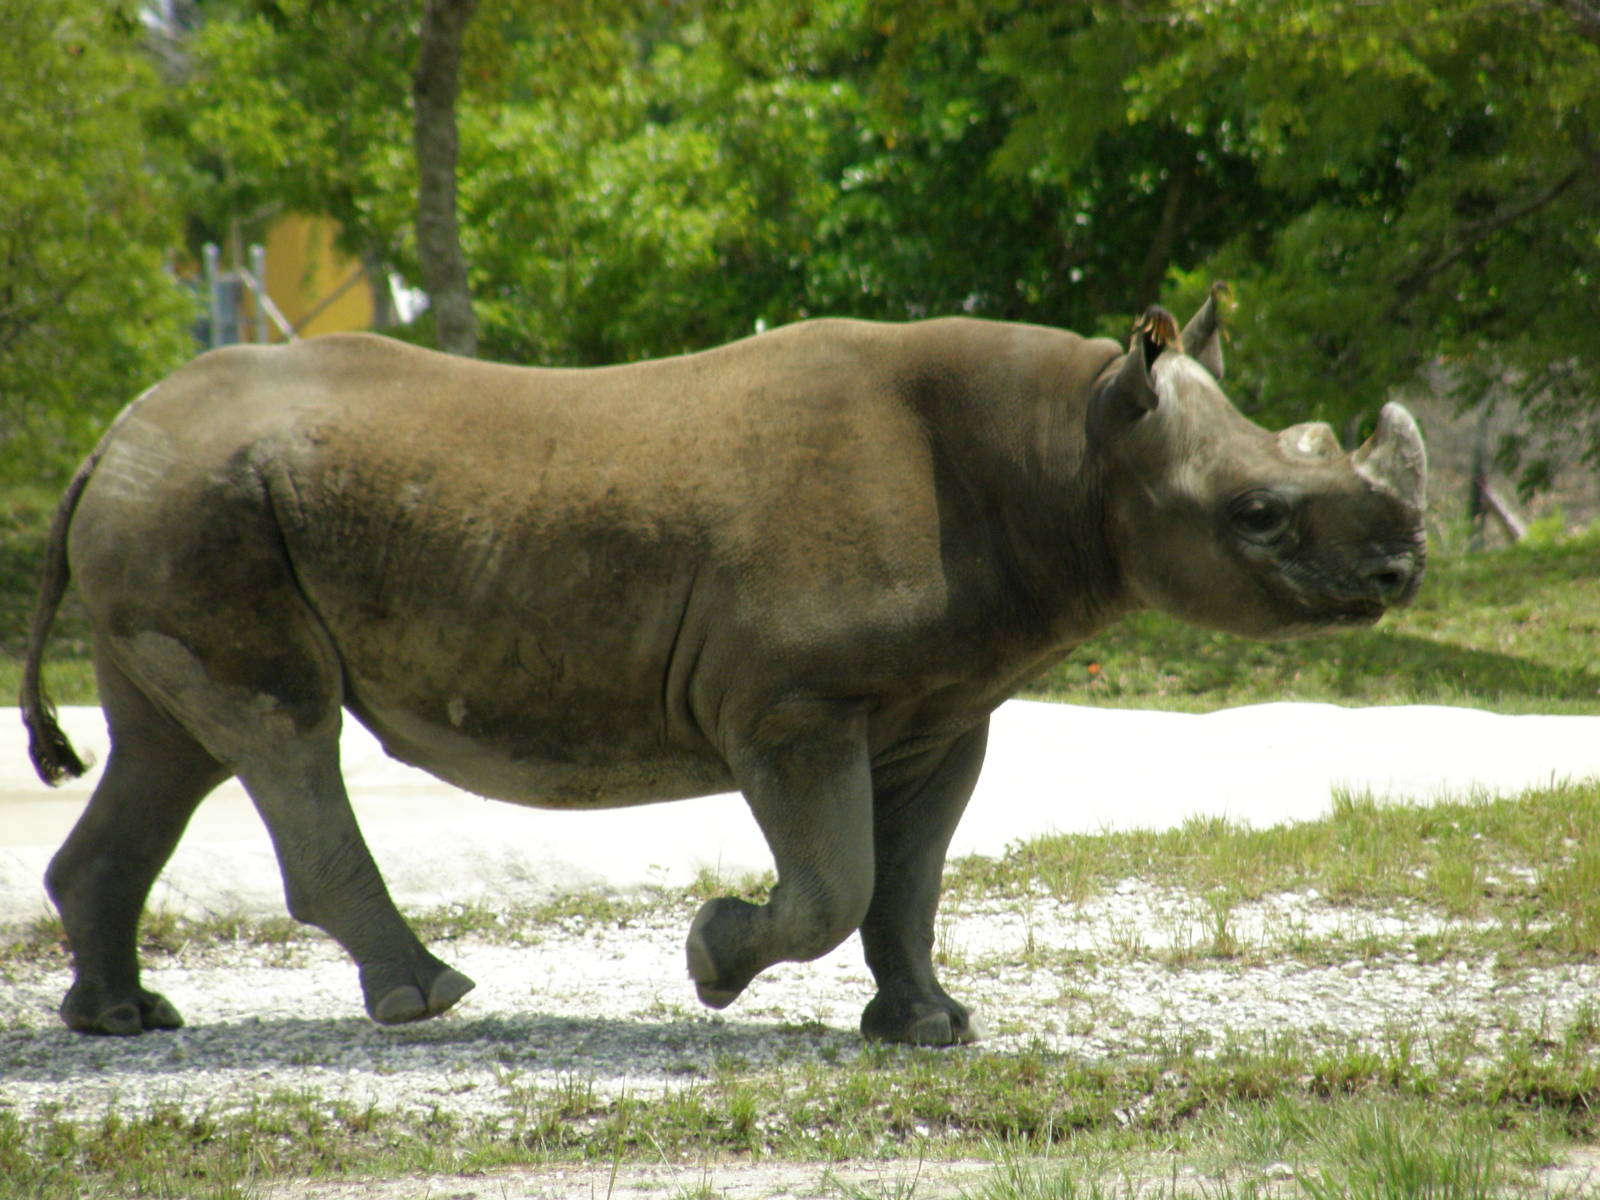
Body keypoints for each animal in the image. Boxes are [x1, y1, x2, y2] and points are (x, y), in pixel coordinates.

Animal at [20, 291, 1426, 1044]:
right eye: (1257, 515)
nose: (1402, 572)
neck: (1067, 445)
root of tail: (108, 435)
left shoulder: (942, 704)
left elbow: (907, 882)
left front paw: (928, 1028)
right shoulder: (790, 699)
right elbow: (837, 882)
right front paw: (709, 961)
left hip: (180, 508)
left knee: (174, 747)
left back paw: (123, 1020)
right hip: (203, 508)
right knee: (283, 729)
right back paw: (426, 999)